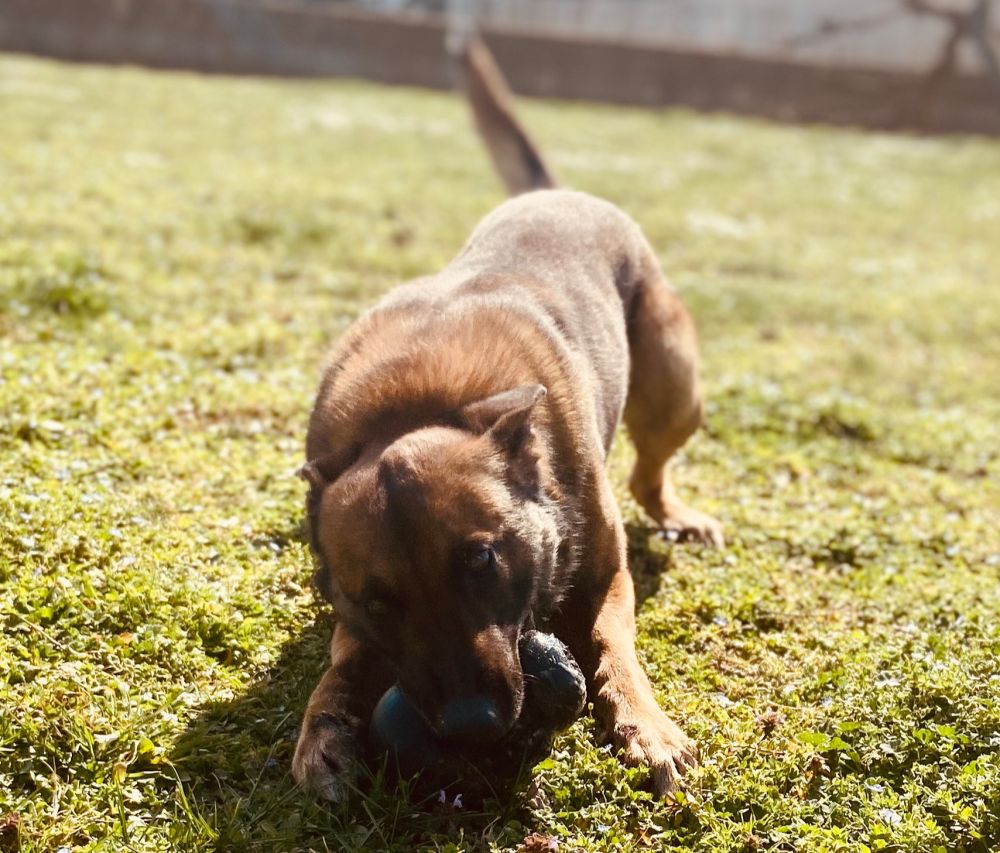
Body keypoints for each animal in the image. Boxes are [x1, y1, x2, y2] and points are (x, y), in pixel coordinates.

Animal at [292, 35, 724, 804]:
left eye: (481, 561)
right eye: (377, 600)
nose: (471, 725)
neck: (417, 405)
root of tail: (554, 193)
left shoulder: (607, 575)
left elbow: (614, 640)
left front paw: (644, 723)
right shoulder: (350, 616)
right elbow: (341, 661)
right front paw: (323, 726)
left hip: (674, 391)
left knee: (649, 473)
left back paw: (679, 513)